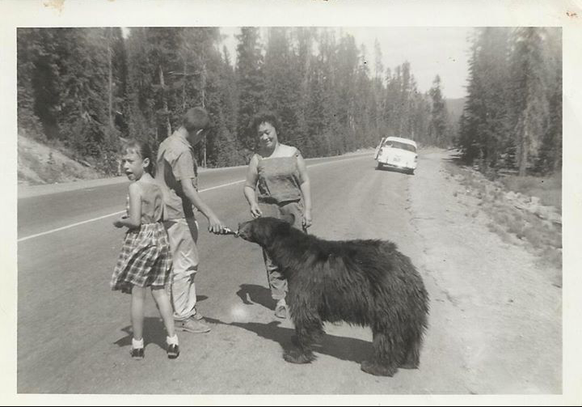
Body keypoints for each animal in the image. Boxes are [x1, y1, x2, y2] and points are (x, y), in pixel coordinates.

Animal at [238, 215, 434, 378]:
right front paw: (295, 339)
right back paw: (408, 362)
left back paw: (376, 366)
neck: (292, 256)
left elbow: (305, 315)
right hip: (410, 308)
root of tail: (410, 272)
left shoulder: (305, 281)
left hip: (387, 300)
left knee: (387, 336)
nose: (239, 225)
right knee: (412, 335)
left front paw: (296, 354)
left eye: (253, 222)